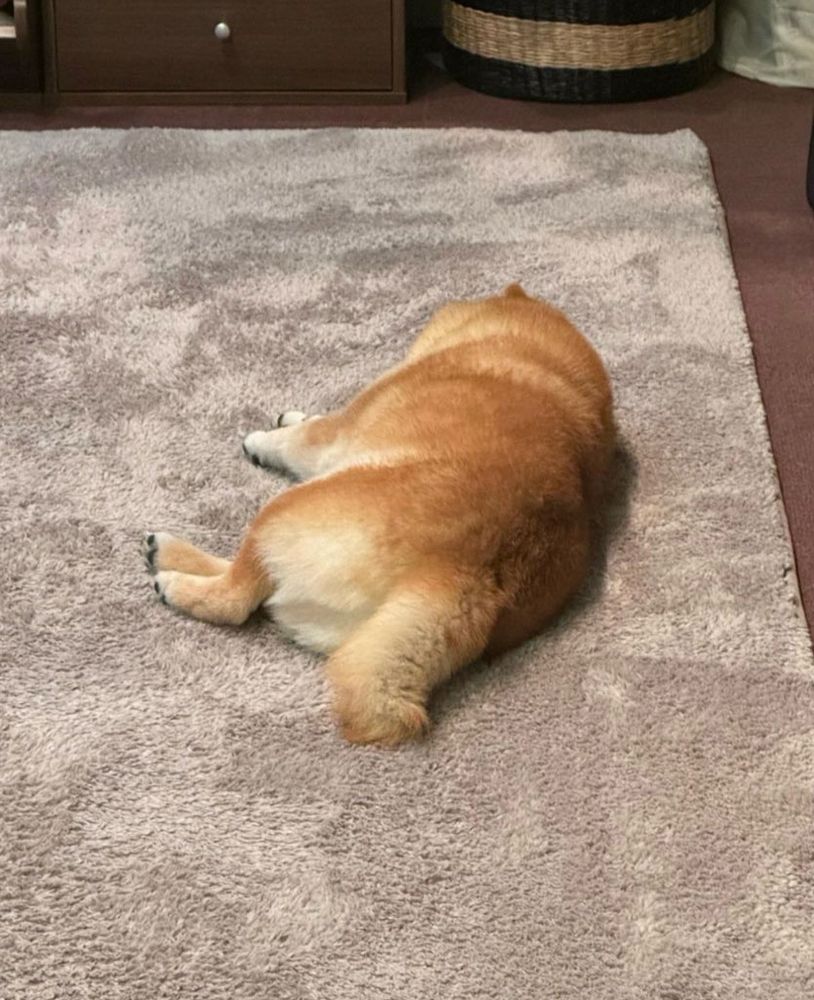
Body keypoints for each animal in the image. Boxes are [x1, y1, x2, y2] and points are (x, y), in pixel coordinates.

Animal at [143, 285, 615, 746]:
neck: (526, 347)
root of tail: (465, 573)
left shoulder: (331, 437)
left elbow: (299, 438)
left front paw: (264, 439)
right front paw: (292, 415)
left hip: (287, 509)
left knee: (236, 596)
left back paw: (171, 570)